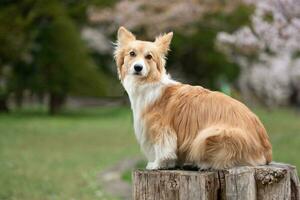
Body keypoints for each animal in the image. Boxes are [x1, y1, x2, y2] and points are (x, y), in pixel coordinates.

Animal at [113, 26, 272, 170]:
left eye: (149, 57)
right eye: (132, 54)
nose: (138, 67)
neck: (147, 83)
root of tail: (267, 151)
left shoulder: (160, 128)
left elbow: (163, 150)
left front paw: (157, 165)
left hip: (209, 135)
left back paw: (200, 164)